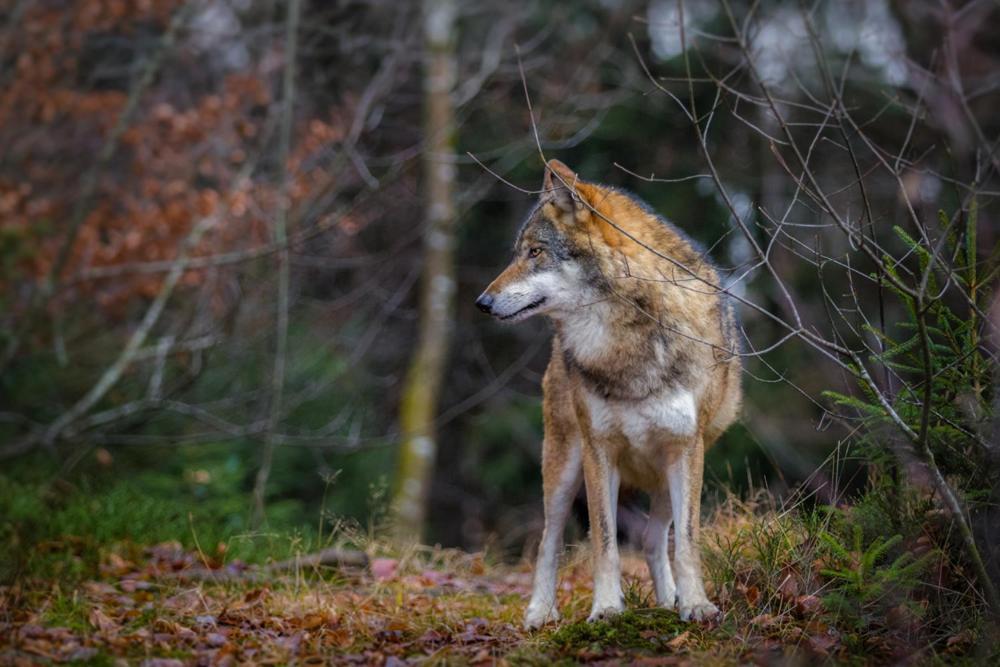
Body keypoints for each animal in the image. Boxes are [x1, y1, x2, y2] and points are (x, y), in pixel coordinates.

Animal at [476, 159, 744, 628]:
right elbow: (604, 541)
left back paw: (667, 601)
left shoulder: (685, 448)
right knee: (548, 541)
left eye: (535, 253)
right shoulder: (599, 449)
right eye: (519, 252)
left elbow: (687, 540)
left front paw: (696, 604)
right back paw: (540, 612)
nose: (482, 302)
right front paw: (606, 608)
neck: (625, 338)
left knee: (655, 539)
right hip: (563, 465)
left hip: (663, 472)